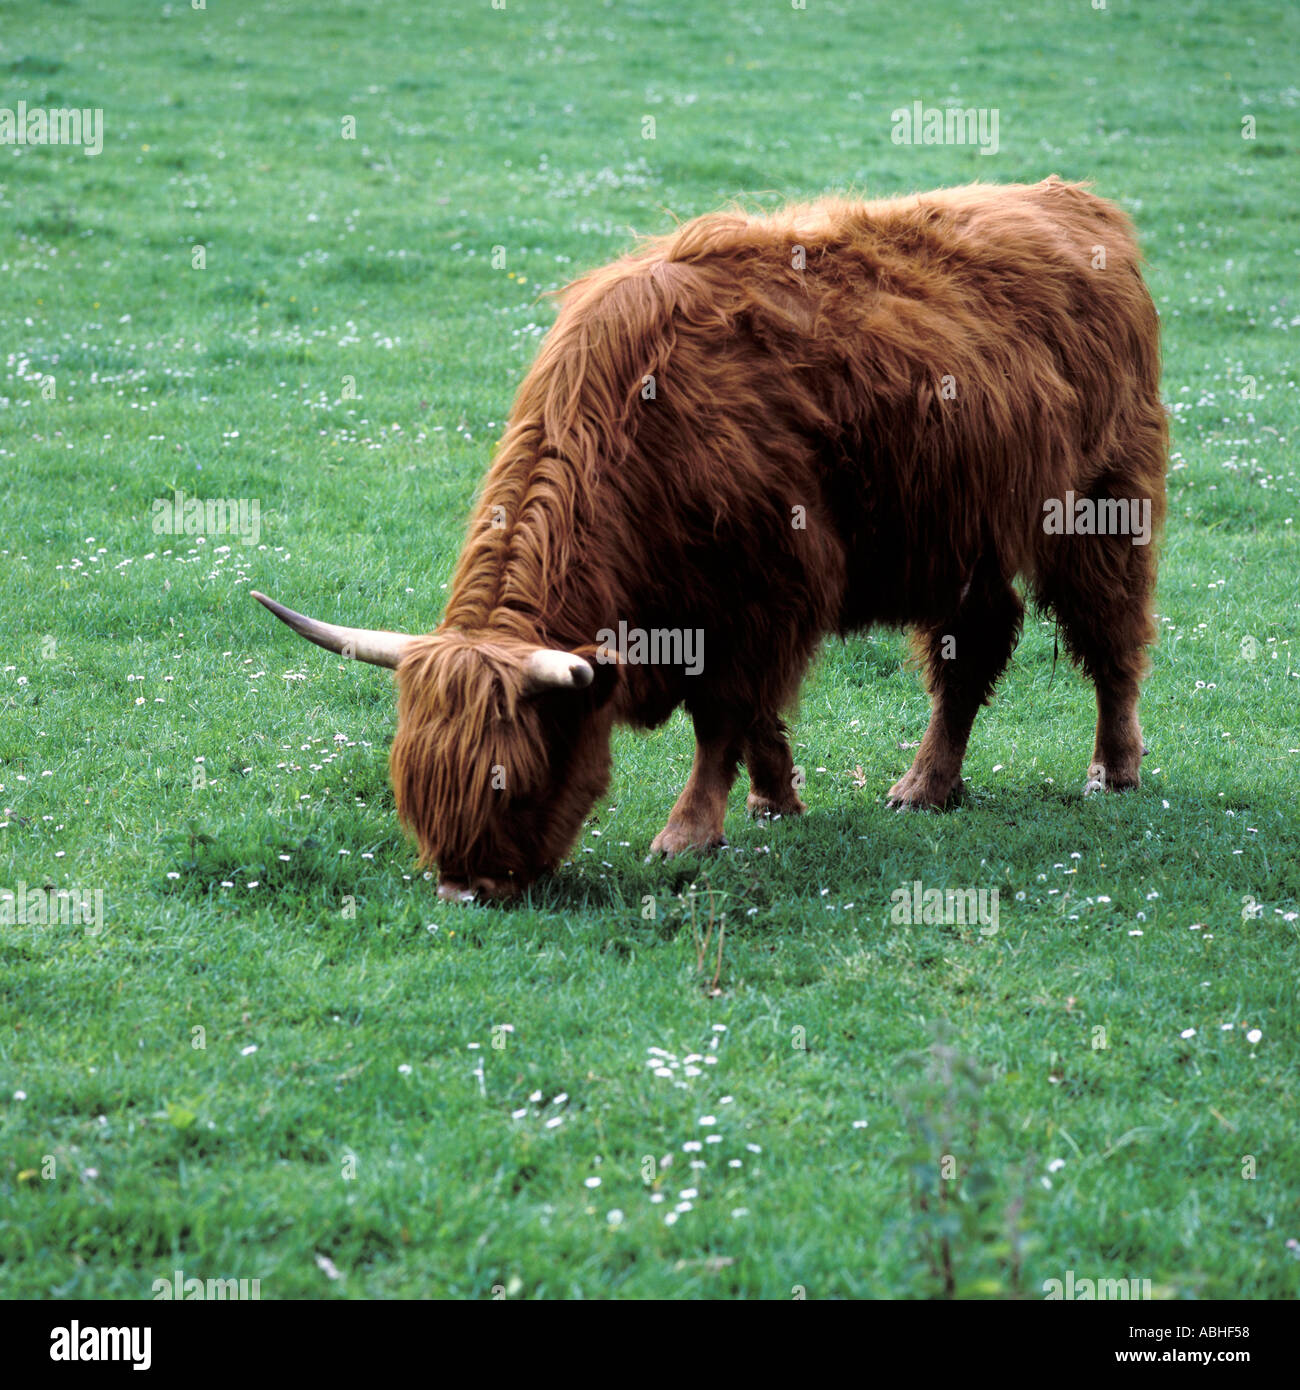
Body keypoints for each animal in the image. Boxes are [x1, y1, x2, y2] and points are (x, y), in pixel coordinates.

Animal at [252, 177, 1167, 900]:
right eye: (412, 789)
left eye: (510, 786)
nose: (463, 892)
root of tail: (1074, 201)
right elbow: (755, 717)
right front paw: (774, 801)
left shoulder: (763, 589)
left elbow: (722, 714)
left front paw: (691, 832)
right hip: (961, 536)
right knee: (973, 644)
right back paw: (923, 785)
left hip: (1103, 502)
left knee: (1111, 635)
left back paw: (1114, 769)